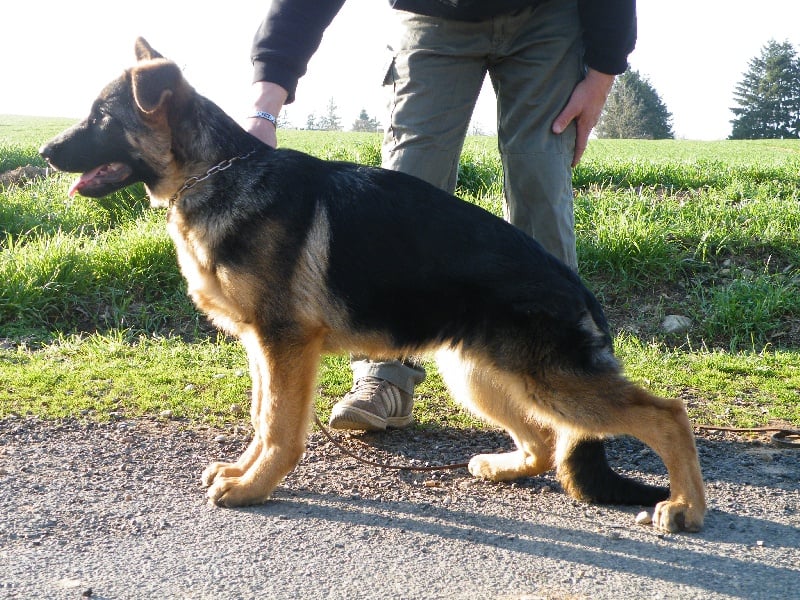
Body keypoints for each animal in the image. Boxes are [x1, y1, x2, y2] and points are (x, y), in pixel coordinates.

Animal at [40, 39, 704, 532]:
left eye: (103, 118)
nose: (45, 151)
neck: (215, 171)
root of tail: (574, 283)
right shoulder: (262, 347)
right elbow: (261, 415)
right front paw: (242, 470)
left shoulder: (286, 345)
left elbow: (279, 425)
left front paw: (255, 486)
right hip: (477, 374)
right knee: (544, 439)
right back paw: (503, 466)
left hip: (549, 381)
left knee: (666, 415)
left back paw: (684, 507)